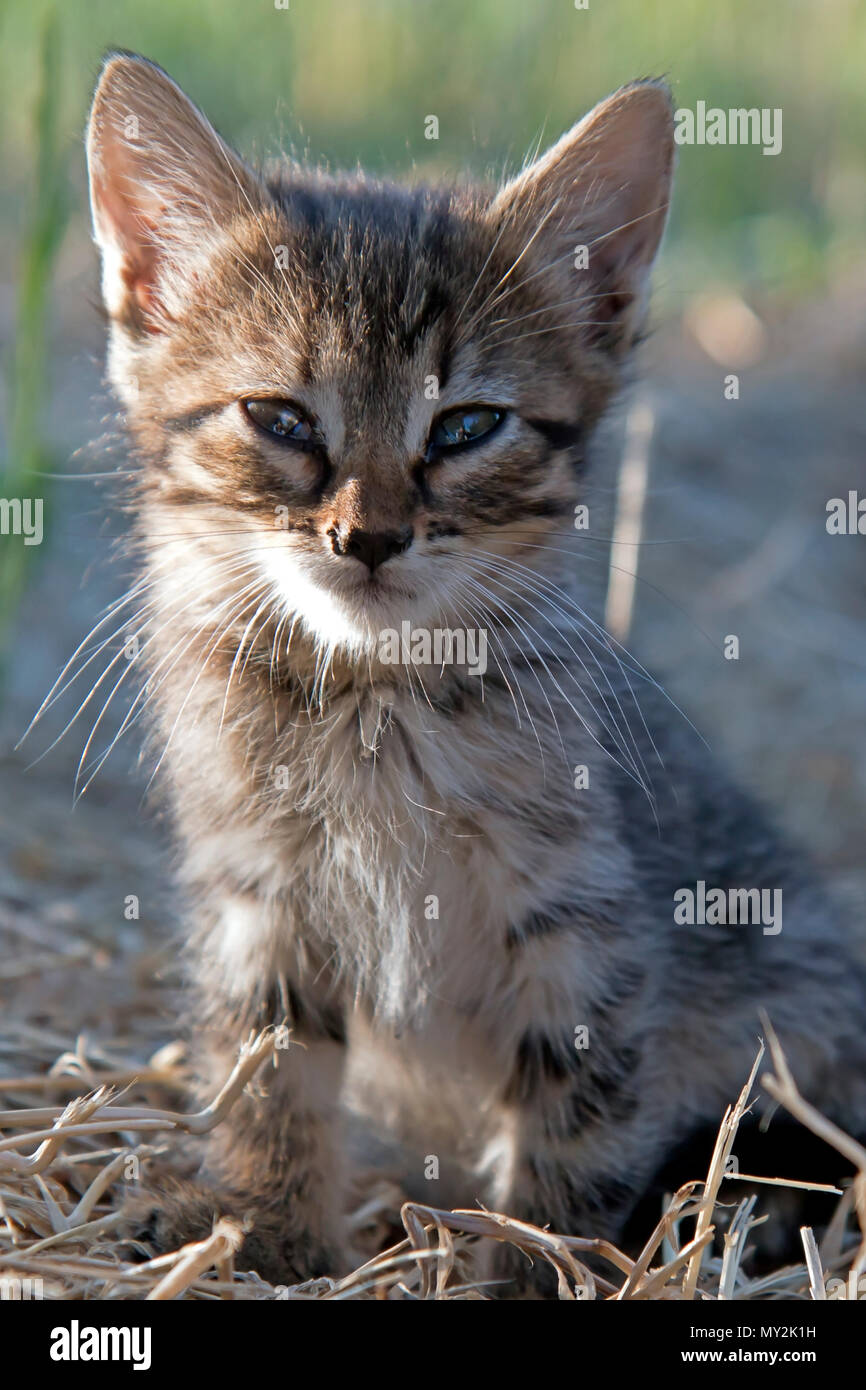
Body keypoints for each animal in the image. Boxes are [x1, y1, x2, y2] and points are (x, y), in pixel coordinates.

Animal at [83, 51, 866, 1289]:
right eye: (279, 419)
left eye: (464, 428)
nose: (368, 536)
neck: (378, 702)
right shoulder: (256, 893)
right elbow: (269, 1073)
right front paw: (265, 1228)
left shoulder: (585, 923)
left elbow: (575, 1118)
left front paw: (534, 1262)